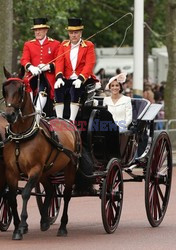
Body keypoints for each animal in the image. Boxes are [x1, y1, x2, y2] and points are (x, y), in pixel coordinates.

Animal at [2, 67, 81, 239]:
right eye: (4, 89)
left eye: (20, 89)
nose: (9, 115)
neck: (21, 136)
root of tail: (67, 121)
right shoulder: (11, 172)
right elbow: (11, 197)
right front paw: (18, 226)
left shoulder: (34, 169)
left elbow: (25, 193)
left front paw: (21, 225)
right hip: (46, 171)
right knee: (51, 190)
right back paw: (45, 220)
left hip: (69, 168)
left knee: (66, 196)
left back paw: (62, 227)